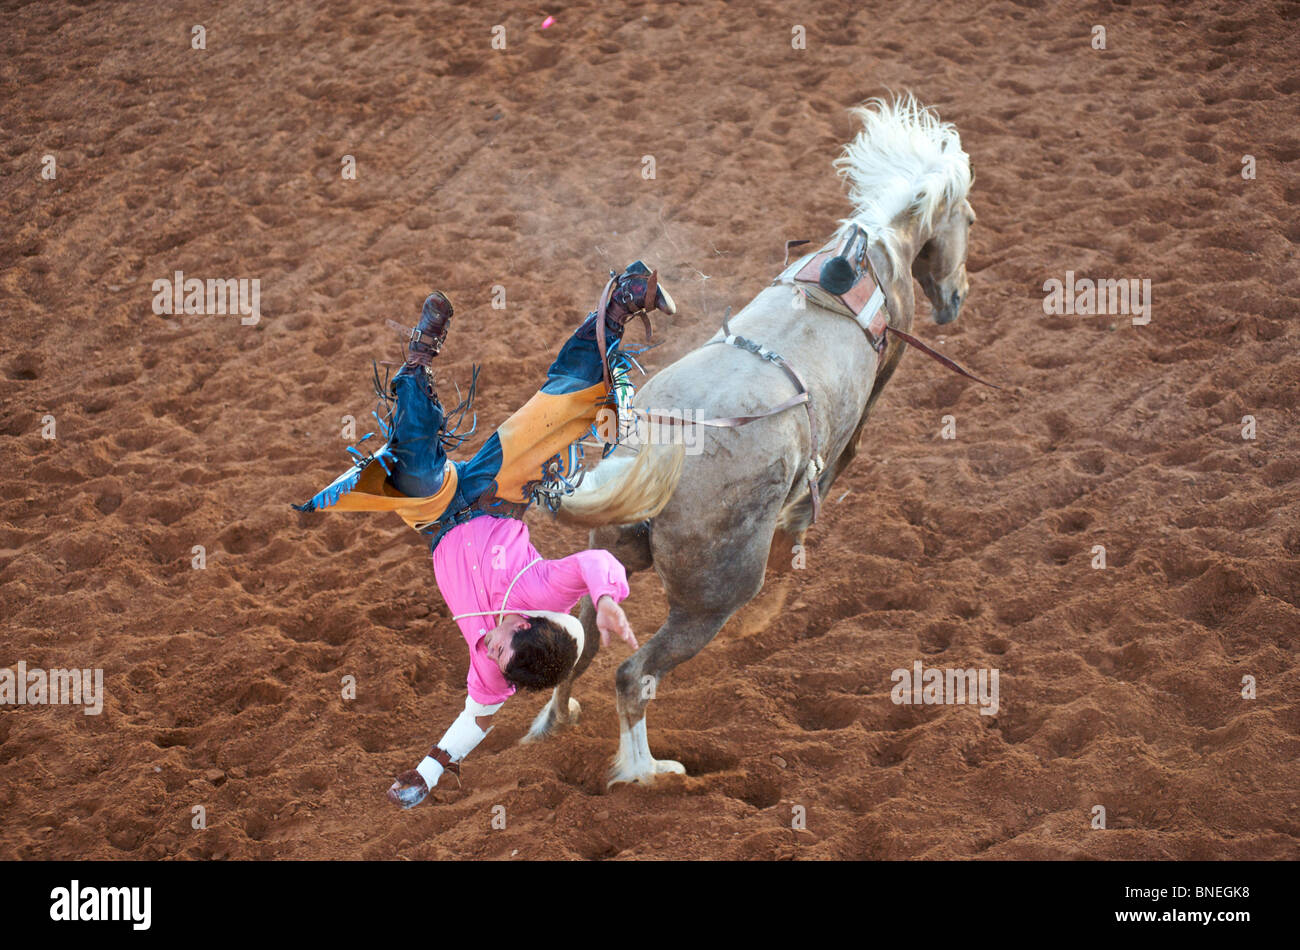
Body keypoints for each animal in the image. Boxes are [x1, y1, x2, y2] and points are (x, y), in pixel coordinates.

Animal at [520, 94, 977, 790]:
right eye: (969, 218)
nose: (956, 299)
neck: (873, 251)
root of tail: (657, 459)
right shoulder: (869, 401)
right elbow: (826, 483)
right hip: (711, 600)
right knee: (634, 674)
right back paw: (647, 770)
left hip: (612, 556)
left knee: (586, 638)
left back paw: (553, 721)